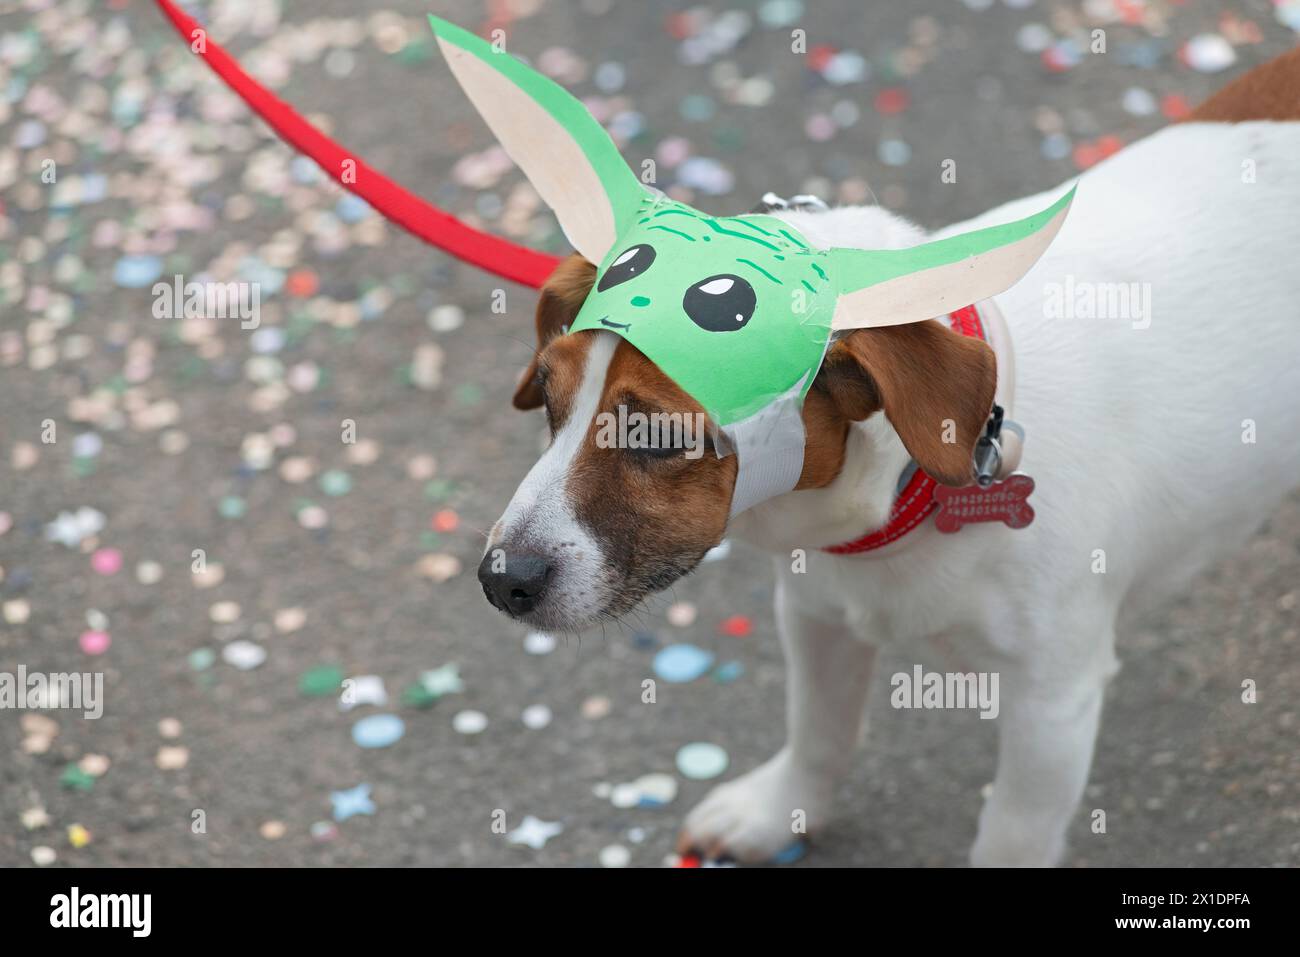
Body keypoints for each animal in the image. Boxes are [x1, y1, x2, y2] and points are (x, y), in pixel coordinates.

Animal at [480, 48, 1300, 863]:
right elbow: (819, 734)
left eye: (661, 437)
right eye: (548, 397)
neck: (916, 494)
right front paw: (778, 813)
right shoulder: (817, 615)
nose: (499, 581)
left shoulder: (1053, 702)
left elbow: (1012, 831)